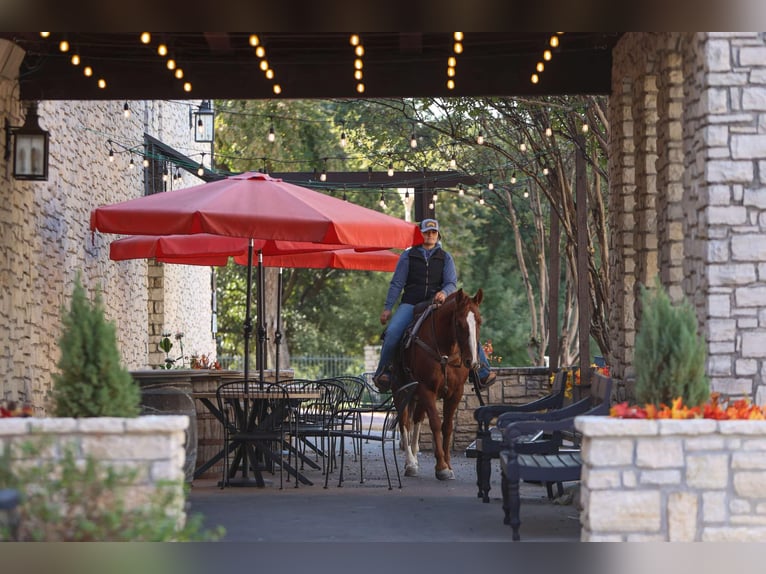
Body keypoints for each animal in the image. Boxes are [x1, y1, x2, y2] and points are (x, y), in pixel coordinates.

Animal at [390, 288, 486, 482]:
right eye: (458, 323)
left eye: (479, 321)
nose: (471, 361)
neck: (445, 352)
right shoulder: (426, 389)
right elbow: (434, 423)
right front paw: (441, 467)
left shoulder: (456, 393)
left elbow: (447, 426)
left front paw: (448, 464)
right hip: (400, 391)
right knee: (404, 422)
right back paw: (410, 463)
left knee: (417, 419)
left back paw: (414, 455)